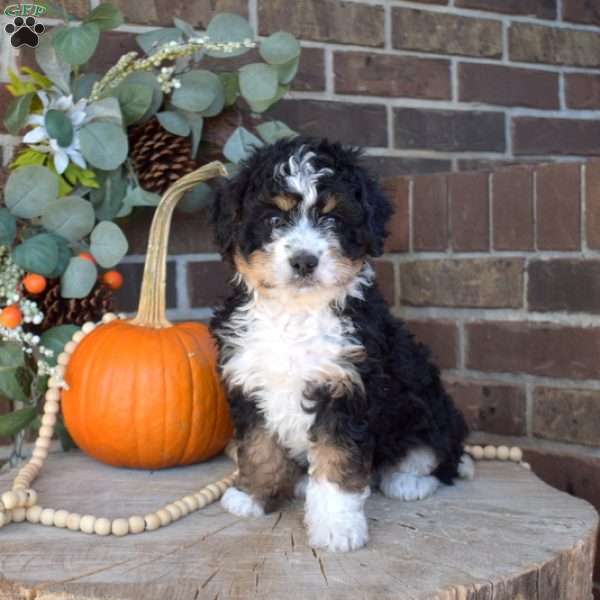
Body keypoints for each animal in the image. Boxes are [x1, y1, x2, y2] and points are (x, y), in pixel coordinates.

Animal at [209, 138, 472, 552]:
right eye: (274, 220)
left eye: (332, 220)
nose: (305, 261)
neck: (295, 314)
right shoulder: (249, 382)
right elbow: (258, 448)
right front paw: (253, 496)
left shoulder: (346, 388)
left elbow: (336, 464)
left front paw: (336, 528)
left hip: (428, 402)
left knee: (437, 456)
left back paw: (407, 480)